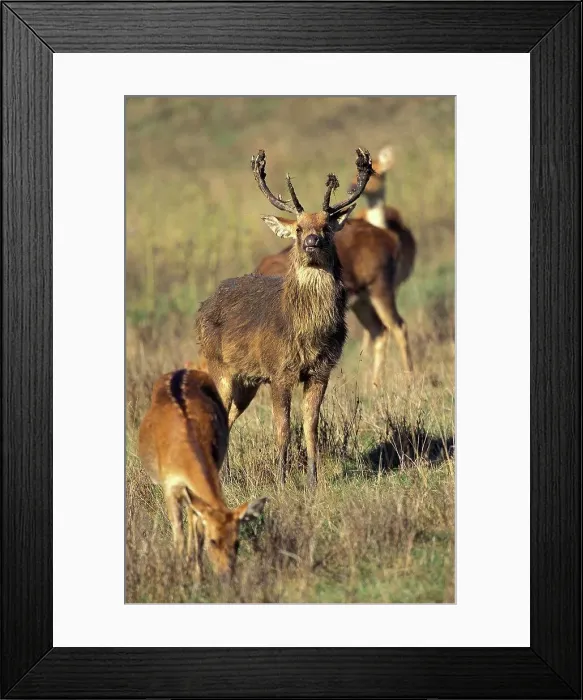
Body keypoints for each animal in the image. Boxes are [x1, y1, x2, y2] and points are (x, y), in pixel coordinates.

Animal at [138, 367, 267, 581]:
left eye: (237, 542)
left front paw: (197, 575)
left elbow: (196, 533)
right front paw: (180, 575)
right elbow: (179, 533)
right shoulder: (170, 486)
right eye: (213, 540)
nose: (226, 575)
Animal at [196, 148, 373, 487]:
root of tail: (202, 308)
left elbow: (310, 427)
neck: (306, 333)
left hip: (247, 380)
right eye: (299, 229)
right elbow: (282, 429)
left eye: (327, 227)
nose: (311, 242)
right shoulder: (279, 371)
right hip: (218, 364)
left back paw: (227, 476)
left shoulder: (320, 371)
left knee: (228, 418)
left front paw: (312, 481)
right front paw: (281, 480)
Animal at [255, 146, 414, 385]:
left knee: (398, 326)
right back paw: (375, 385)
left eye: (326, 227)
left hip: (381, 285)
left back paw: (410, 380)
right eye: (298, 228)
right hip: (362, 300)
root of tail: (390, 238)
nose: (312, 241)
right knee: (379, 330)